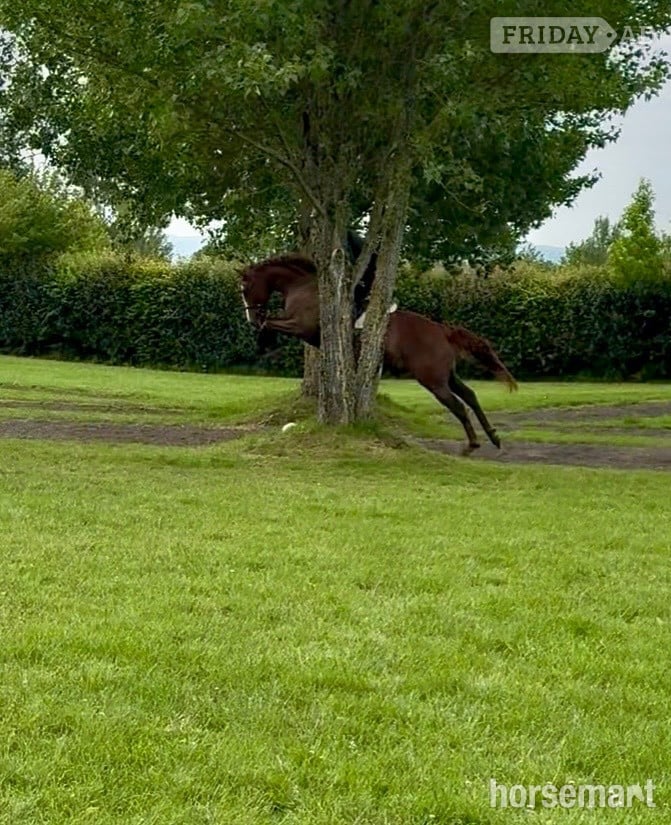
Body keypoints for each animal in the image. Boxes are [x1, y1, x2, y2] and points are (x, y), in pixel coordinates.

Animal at [240, 254, 517, 452]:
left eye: (245, 289)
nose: (250, 319)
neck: (303, 286)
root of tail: (441, 329)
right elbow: (273, 322)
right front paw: (263, 339)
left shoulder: (301, 326)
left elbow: (272, 322)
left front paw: (264, 342)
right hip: (446, 375)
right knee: (470, 395)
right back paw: (493, 437)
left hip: (432, 379)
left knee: (458, 405)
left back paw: (473, 444)